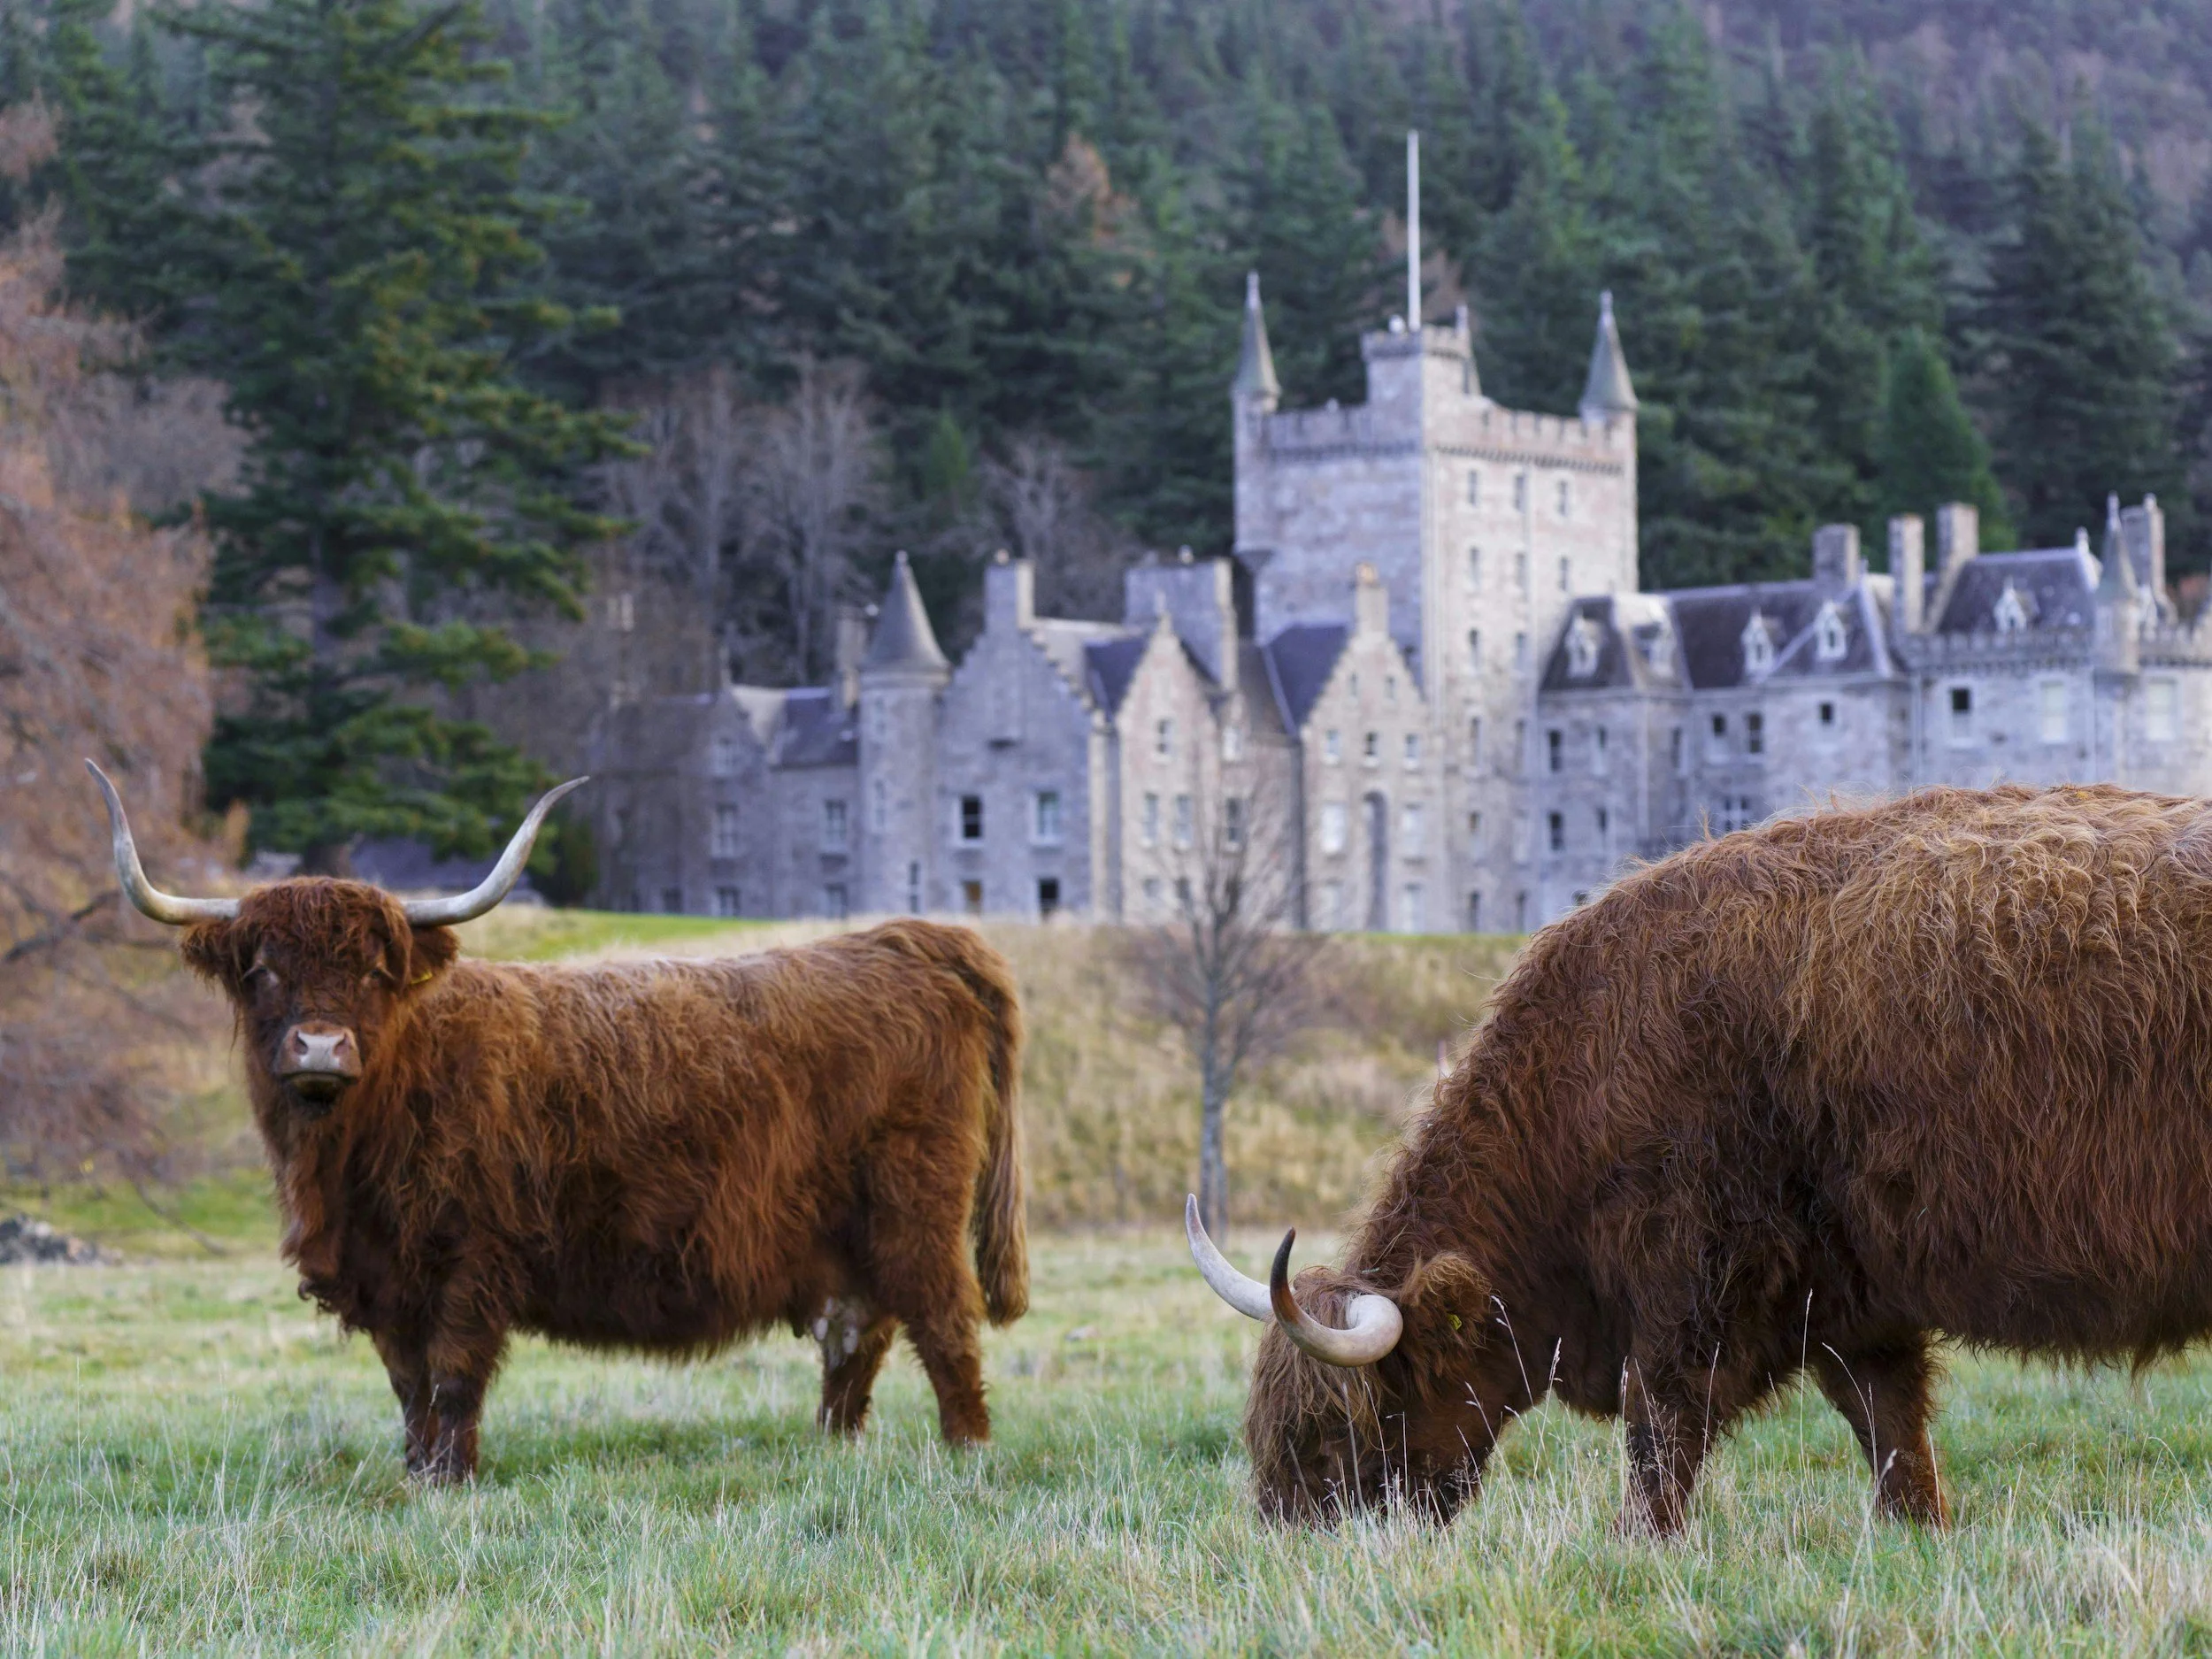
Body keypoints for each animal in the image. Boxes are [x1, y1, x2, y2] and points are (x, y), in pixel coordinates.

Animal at [90, 764, 1027, 1482]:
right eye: (265, 970)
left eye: (374, 971)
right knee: (854, 1335)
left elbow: (454, 1375)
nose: (320, 1046)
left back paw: (968, 1455)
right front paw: (416, 1471)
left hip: (915, 1210)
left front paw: (452, 1481)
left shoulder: (474, 1257)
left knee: (945, 1323)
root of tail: (909, 941)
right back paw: (831, 1451)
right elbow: (408, 1385)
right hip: (849, 1237)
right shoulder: (386, 1274)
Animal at [1191, 783, 2212, 1534]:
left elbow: (1663, 1423)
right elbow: (1887, 1424)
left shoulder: (1696, 1272)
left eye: (1343, 1430)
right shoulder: (1853, 1296)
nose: (1284, 1535)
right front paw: (1916, 1526)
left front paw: (1636, 1540)